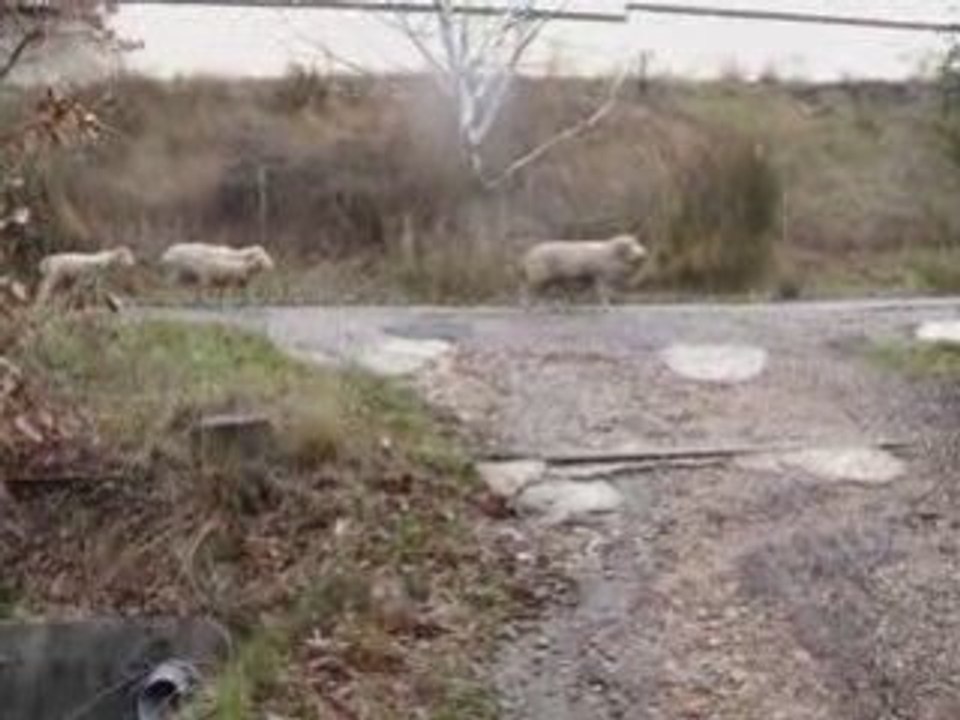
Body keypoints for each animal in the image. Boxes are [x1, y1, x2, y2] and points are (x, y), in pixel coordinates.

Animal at [520, 233, 648, 306]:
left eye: (637, 243)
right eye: (630, 245)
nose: (643, 254)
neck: (611, 253)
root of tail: (528, 254)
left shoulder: (592, 278)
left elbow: (595, 291)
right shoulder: (601, 276)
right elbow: (603, 292)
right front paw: (607, 307)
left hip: (549, 279)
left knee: (539, 292)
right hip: (538, 276)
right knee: (528, 291)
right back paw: (529, 306)